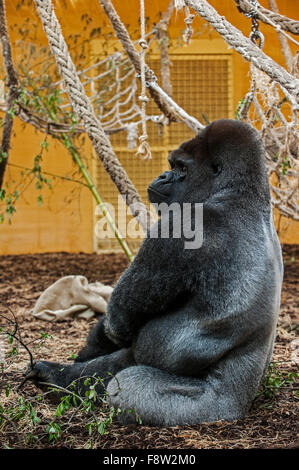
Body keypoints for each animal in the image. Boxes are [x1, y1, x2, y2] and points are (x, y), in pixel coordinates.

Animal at [25, 118, 284, 426]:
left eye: (181, 168)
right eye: (173, 164)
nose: (163, 175)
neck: (242, 193)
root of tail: (240, 406)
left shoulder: (182, 225)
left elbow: (119, 320)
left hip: (202, 409)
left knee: (126, 383)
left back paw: (58, 378)